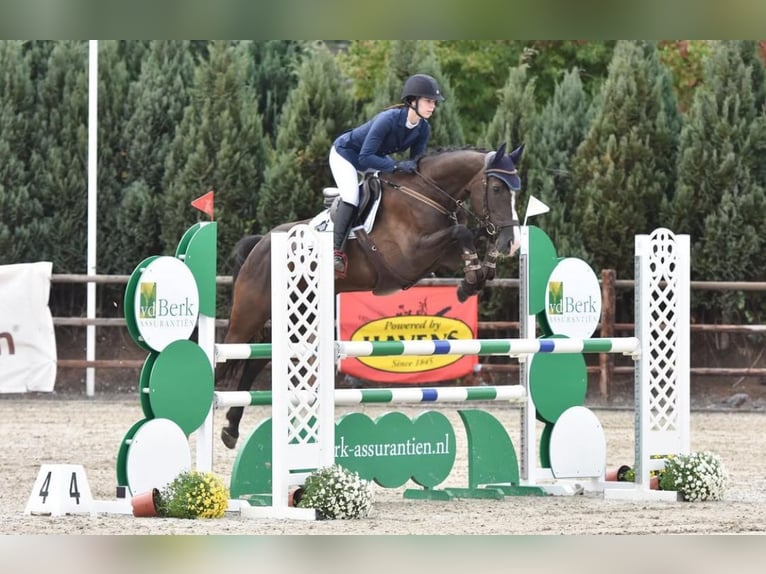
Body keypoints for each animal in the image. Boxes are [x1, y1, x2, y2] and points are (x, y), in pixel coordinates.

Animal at [219, 143, 524, 450]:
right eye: (497, 188)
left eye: (516, 191)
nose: (512, 243)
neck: (427, 194)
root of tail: (260, 242)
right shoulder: (409, 257)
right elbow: (462, 232)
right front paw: (472, 280)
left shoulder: (439, 257)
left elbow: (469, 238)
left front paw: (478, 275)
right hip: (250, 313)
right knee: (227, 353)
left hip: (298, 314)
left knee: (256, 361)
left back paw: (231, 428)